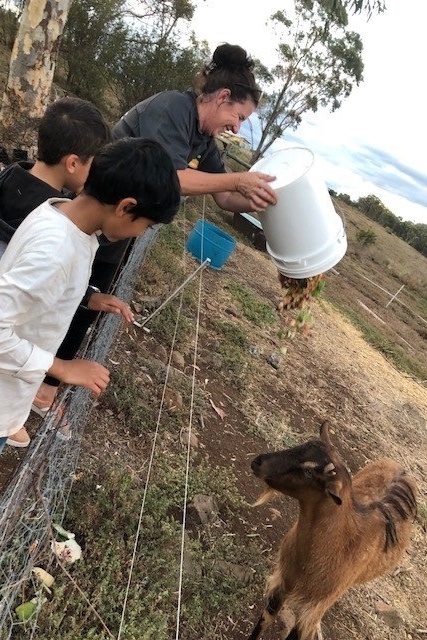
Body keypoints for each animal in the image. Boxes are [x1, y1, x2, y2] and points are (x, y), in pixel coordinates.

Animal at [247, 420, 418, 640]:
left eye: (310, 472)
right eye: (301, 445)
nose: (258, 462)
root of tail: (404, 470)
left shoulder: (314, 608)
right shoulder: (282, 582)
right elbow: (263, 621)